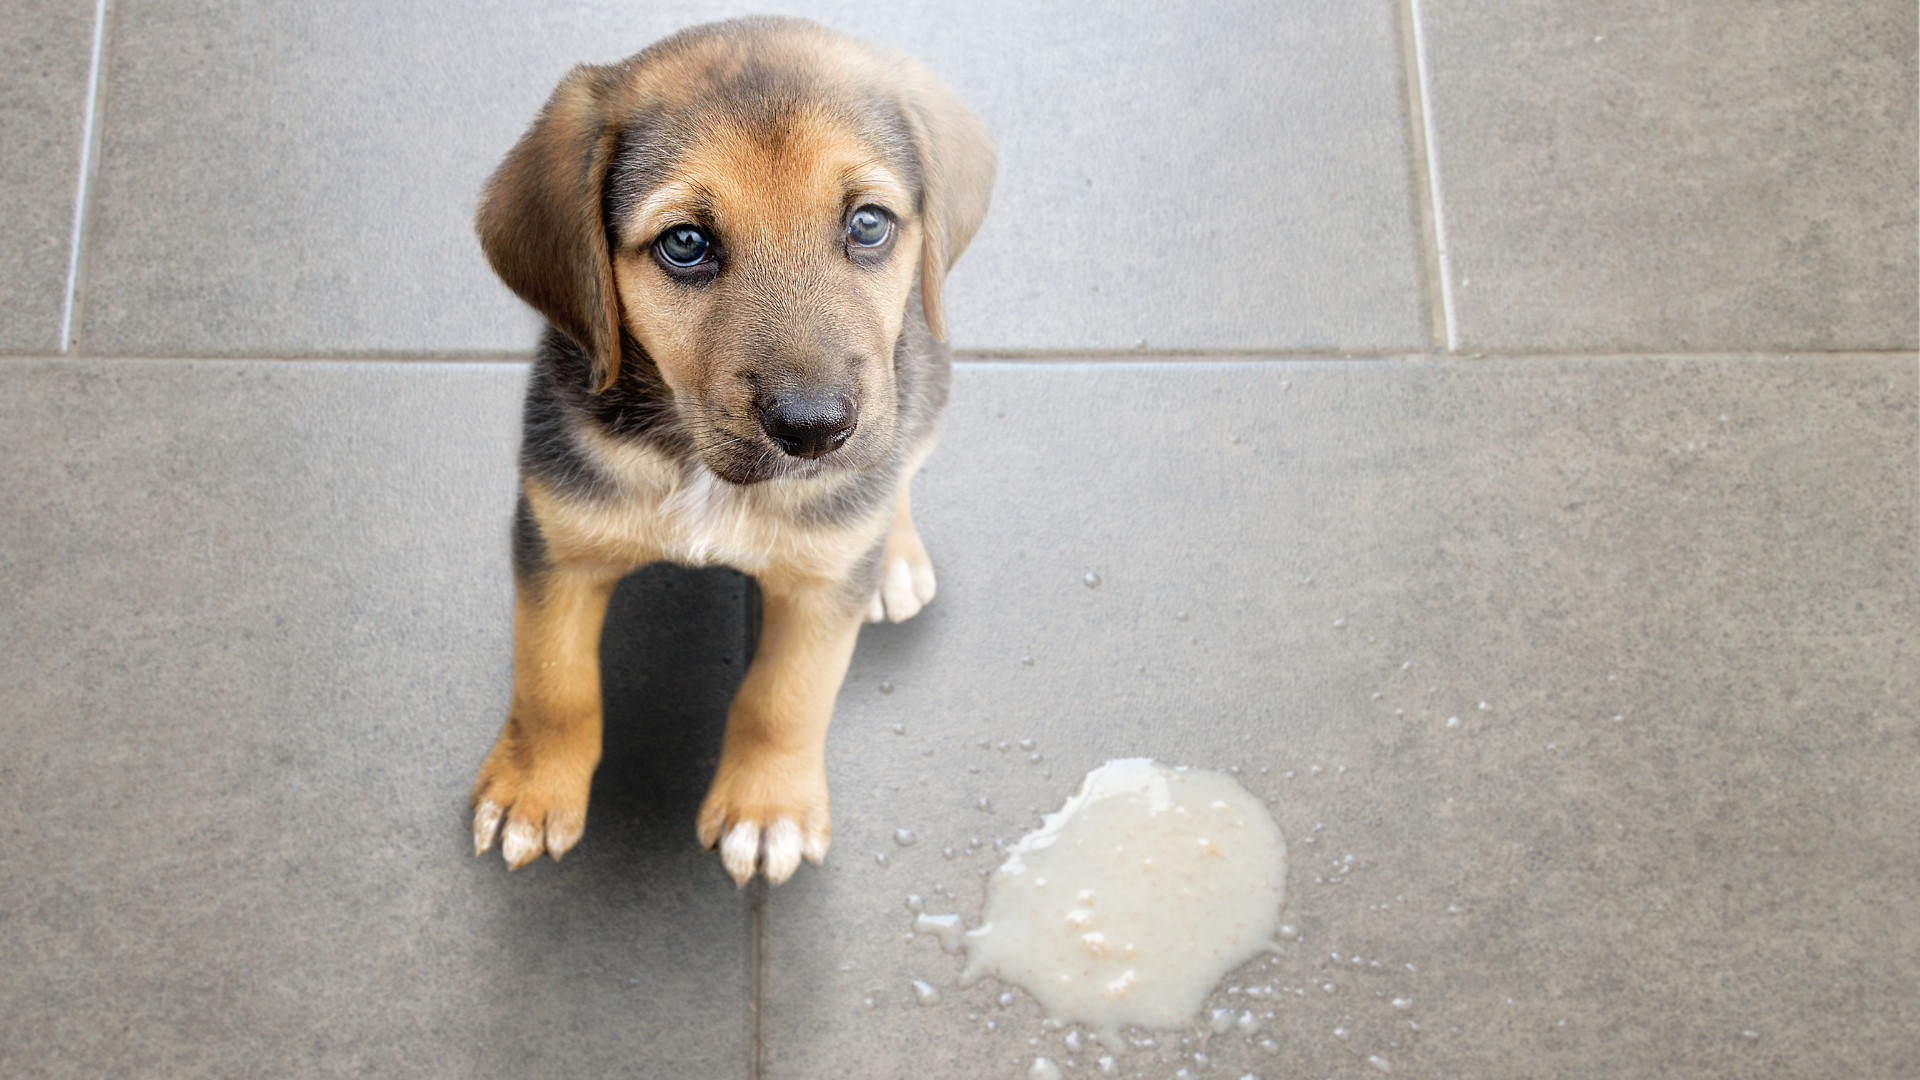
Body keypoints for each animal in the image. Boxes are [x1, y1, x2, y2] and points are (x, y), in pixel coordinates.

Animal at [462, 16, 990, 883]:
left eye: (868, 224)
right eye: (685, 243)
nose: (815, 430)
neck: (696, 463)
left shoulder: (821, 590)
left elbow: (786, 698)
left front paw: (767, 809)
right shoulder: (556, 541)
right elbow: (552, 681)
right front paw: (532, 790)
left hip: (926, 384)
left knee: (901, 468)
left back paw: (895, 557)